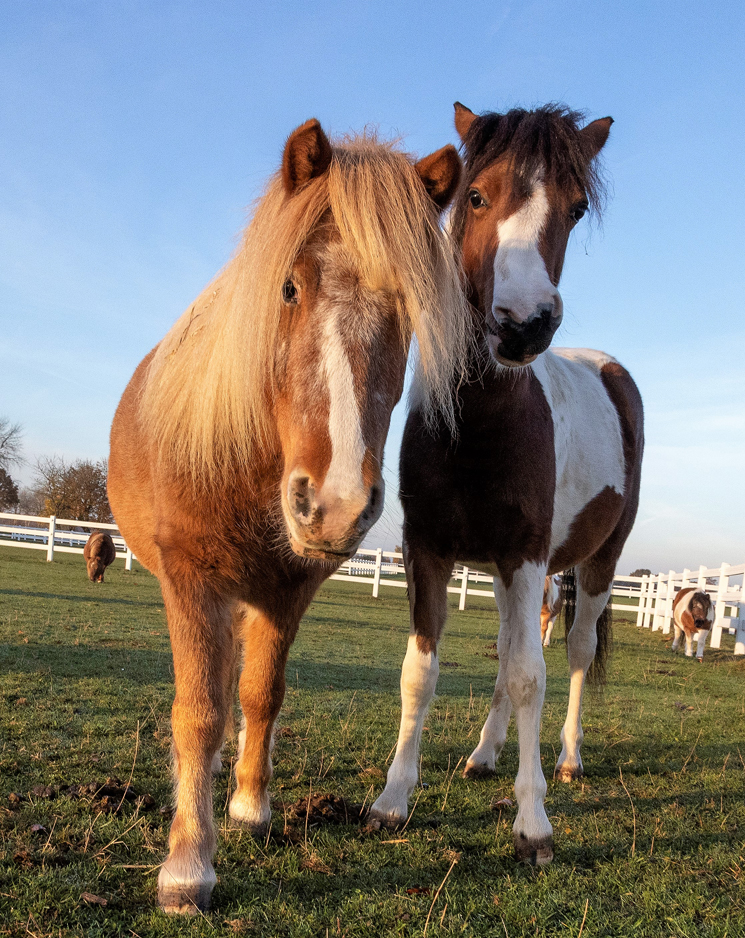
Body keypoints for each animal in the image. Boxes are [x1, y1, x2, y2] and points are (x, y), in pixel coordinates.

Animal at [107, 119, 468, 916]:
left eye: (406, 311)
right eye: (290, 287)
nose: (334, 503)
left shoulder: (286, 591)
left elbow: (260, 695)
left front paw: (250, 809)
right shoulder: (190, 581)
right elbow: (199, 712)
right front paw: (187, 868)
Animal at [372, 102, 644, 864]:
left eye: (575, 209)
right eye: (474, 195)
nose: (523, 324)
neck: (475, 422)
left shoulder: (525, 556)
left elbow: (530, 675)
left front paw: (532, 823)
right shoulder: (430, 551)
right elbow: (422, 671)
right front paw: (392, 800)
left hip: (595, 562)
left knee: (572, 654)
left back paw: (569, 759)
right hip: (502, 573)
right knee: (505, 654)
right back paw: (483, 755)